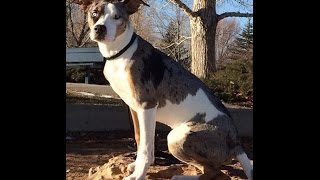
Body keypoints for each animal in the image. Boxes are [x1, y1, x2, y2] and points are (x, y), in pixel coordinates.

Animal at [74, 0, 254, 179]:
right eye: (94, 13)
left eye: (117, 17)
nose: (99, 29)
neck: (120, 52)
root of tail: (237, 143)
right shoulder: (135, 109)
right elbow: (139, 140)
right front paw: (136, 166)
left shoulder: (147, 106)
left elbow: (146, 148)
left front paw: (139, 174)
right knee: (214, 171)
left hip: (177, 137)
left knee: (215, 172)